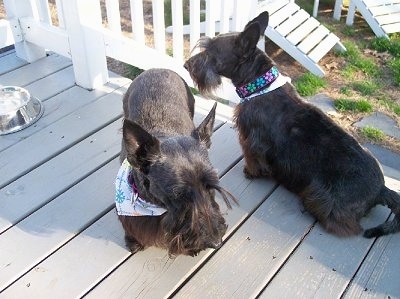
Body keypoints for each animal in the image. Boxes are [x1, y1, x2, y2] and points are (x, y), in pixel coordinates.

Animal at [184, 11, 400, 238]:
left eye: (210, 52)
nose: (186, 65)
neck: (260, 85)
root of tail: (381, 190)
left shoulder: (251, 140)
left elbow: (253, 158)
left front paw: (250, 172)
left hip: (321, 196)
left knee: (346, 227)